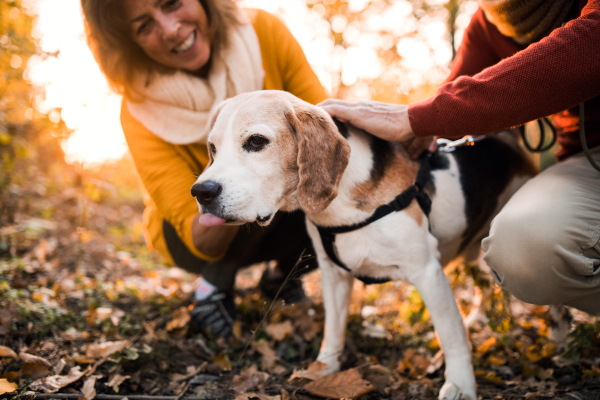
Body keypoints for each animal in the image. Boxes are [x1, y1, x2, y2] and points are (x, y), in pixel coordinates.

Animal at [191, 90, 536, 400]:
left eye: (256, 142)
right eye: (213, 148)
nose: (201, 192)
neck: (341, 200)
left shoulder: (427, 272)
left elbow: (451, 335)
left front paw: (462, 386)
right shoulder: (333, 275)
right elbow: (333, 330)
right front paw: (323, 369)